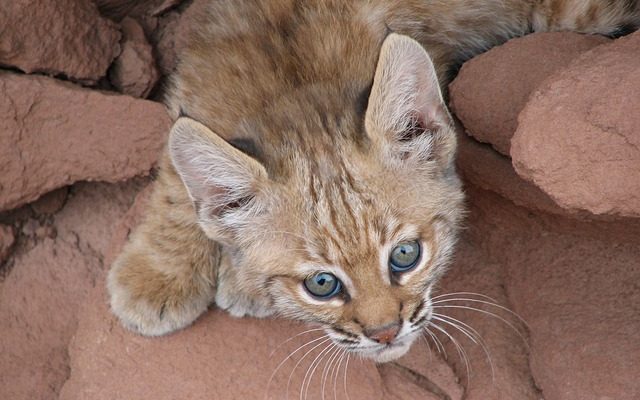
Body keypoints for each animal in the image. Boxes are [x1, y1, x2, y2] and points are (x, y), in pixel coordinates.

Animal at [107, 0, 636, 362]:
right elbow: (176, 173)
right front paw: (158, 276)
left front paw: (234, 281)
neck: (292, 83)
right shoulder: (195, 81)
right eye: (322, 284)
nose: (385, 334)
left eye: (405, 255)